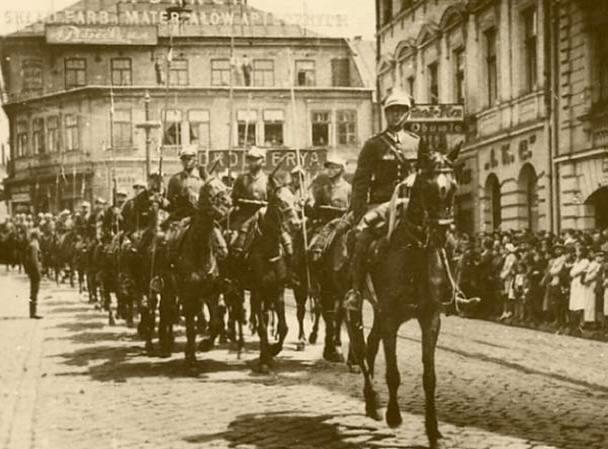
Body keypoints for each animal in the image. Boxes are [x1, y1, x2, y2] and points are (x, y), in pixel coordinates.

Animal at [346, 144, 460, 448]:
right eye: (426, 186)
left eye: (453, 187)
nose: (442, 233)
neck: (414, 253)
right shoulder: (390, 318)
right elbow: (393, 372)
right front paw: (394, 415)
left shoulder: (430, 318)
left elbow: (429, 377)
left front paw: (433, 430)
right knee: (359, 346)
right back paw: (374, 399)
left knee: (369, 345)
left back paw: (371, 404)